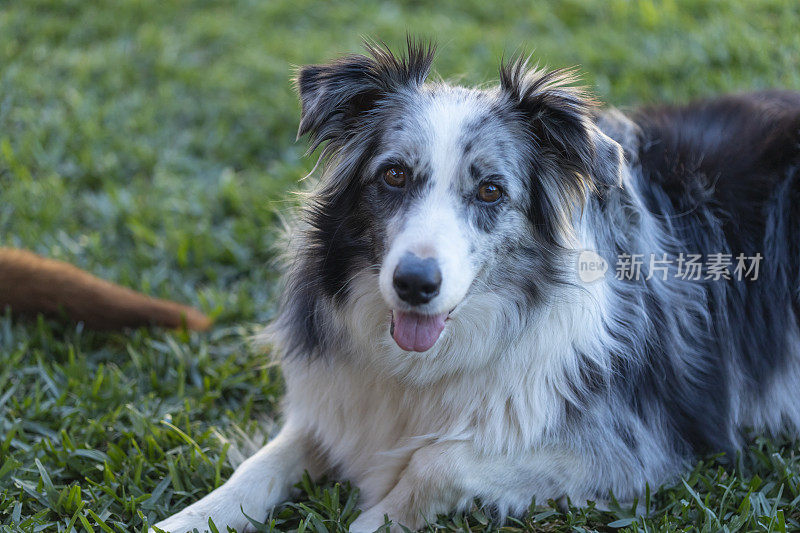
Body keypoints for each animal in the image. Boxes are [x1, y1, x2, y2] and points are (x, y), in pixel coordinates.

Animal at [153, 41, 800, 532]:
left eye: (490, 190)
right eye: (393, 174)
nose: (414, 284)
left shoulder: (634, 446)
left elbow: (440, 461)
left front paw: (374, 519)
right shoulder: (342, 400)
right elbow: (263, 464)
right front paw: (187, 519)